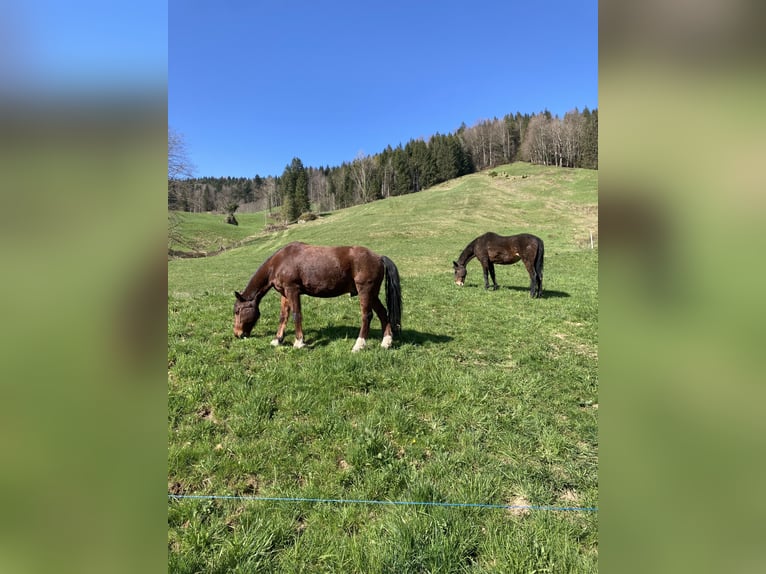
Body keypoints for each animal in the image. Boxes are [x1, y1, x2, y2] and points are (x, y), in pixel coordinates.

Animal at [234, 242, 402, 352]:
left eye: (237, 311)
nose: (237, 334)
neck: (280, 261)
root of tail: (379, 257)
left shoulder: (292, 290)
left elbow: (296, 315)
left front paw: (299, 342)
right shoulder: (284, 293)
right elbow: (283, 317)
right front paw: (277, 340)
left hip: (365, 291)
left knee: (367, 315)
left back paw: (359, 345)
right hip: (372, 294)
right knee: (383, 313)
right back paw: (386, 342)